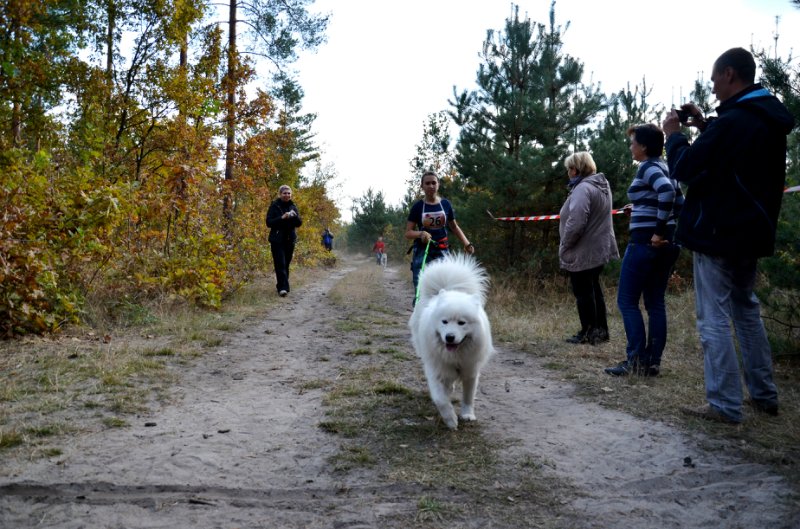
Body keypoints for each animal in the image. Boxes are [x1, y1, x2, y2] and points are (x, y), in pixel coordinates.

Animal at [412, 252, 494, 428]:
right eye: (444, 322)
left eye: (462, 323)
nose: (449, 337)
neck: (456, 356)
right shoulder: (435, 369)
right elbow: (440, 399)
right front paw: (450, 420)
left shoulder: (471, 371)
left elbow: (468, 397)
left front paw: (467, 415)